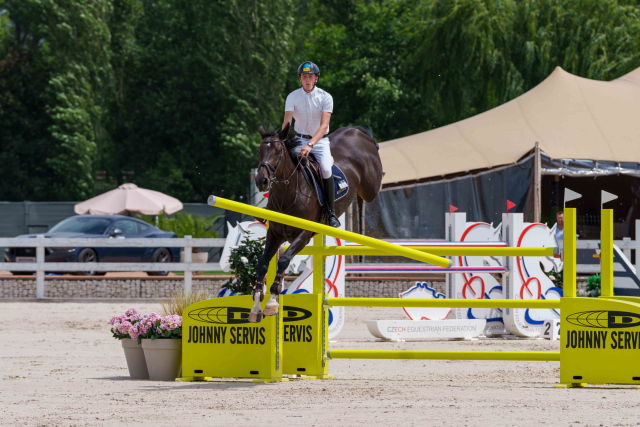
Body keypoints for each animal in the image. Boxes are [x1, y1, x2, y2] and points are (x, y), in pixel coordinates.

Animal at [249, 122, 383, 322]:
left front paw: (272, 302)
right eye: (259, 150)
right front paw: (256, 306)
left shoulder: (304, 235)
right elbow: (263, 263)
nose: (261, 181)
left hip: (370, 186)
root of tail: (356, 131)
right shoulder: (275, 234)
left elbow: (284, 260)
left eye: (278, 151)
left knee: (373, 189)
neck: (288, 193)